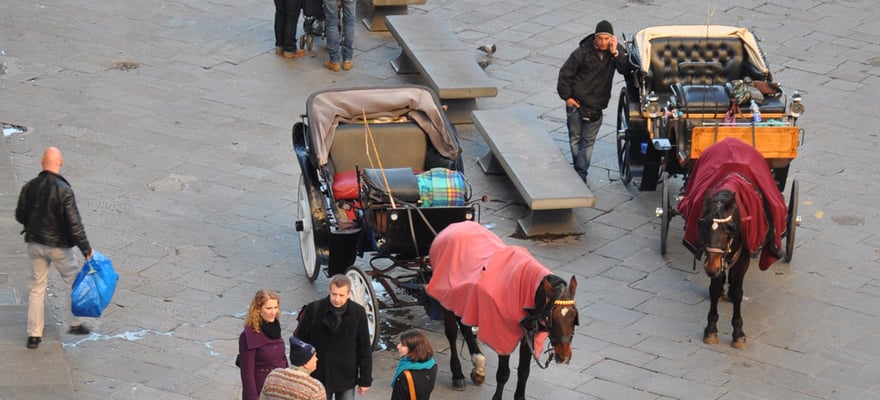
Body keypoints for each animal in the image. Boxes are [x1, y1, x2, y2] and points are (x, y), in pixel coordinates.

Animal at [424, 222, 576, 400]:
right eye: (553, 318)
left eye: (574, 318)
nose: (564, 356)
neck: (526, 290)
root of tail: (451, 227)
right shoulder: (502, 334)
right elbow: (503, 373)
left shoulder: (528, 334)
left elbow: (524, 372)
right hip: (446, 297)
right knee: (452, 332)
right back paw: (458, 374)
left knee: (465, 324)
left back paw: (478, 365)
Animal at [676, 138, 788, 350]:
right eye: (702, 225)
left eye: (729, 230)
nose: (711, 268)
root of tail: (733, 139)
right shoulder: (712, 257)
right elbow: (714, 287)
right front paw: (711, 329)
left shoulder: (743, 256)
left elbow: (737, 291)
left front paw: (738, 333)